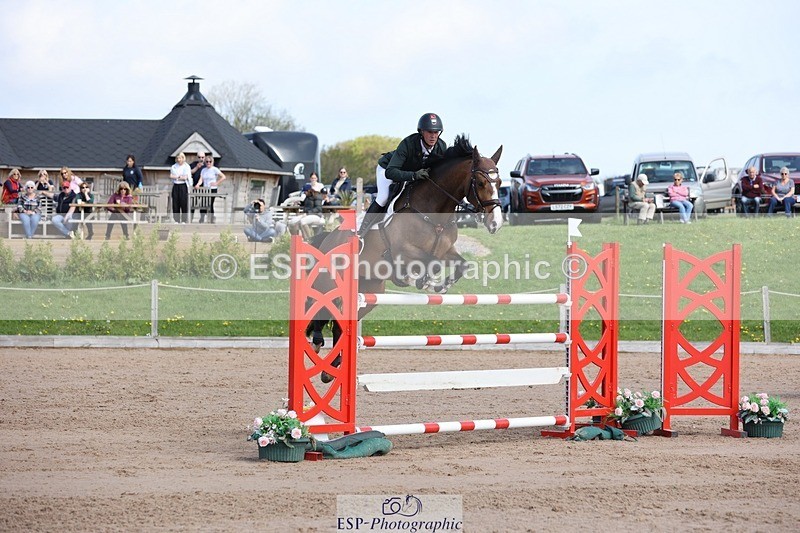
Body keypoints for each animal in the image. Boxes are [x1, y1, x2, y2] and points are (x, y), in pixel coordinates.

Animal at [305, 135, 503, 379]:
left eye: (500, 182)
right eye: (481, 183)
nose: (495, 223)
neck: (434, 211)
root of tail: (329, 237)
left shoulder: (446, 251)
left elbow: (459, 265)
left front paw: (440, 285)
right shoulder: (403, 251)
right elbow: (429, 262)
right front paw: (421, 281)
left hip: (370, 292)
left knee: (340, 326)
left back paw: (330, 371)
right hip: (330, 282)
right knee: (319, 306)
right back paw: (316, 343)